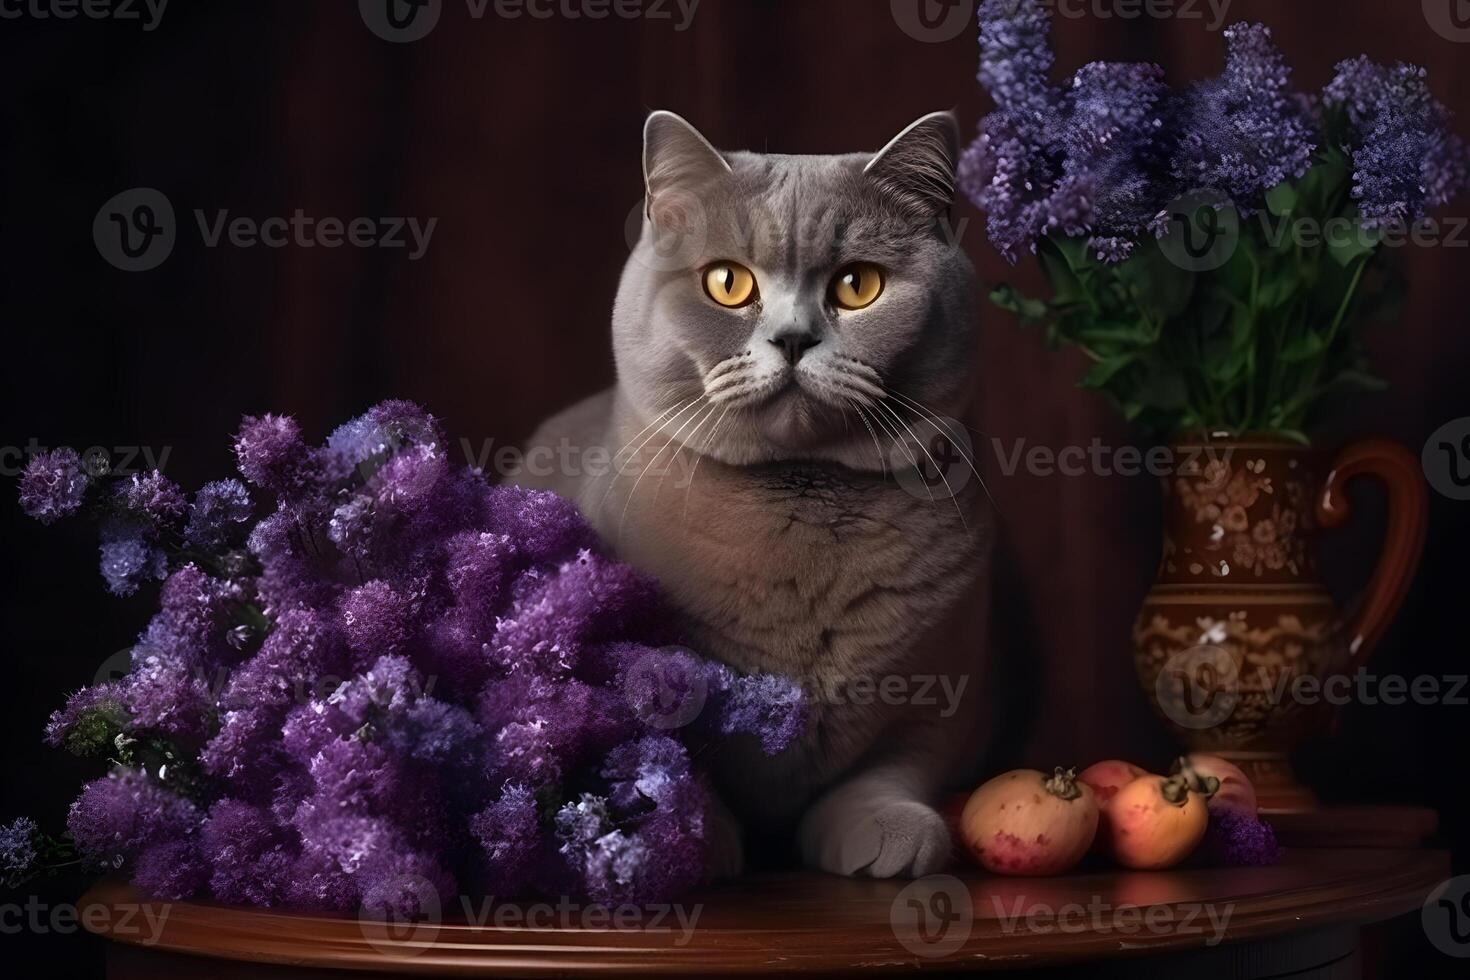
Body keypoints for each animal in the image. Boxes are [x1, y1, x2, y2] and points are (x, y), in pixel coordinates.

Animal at [517, 110, 987, 875]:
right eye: (727, 283)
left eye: (859, 285)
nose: (793, 338)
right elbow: (676, 758)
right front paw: (690, 837)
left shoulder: (943, 692)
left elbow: (893, 768)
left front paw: (888, 832)